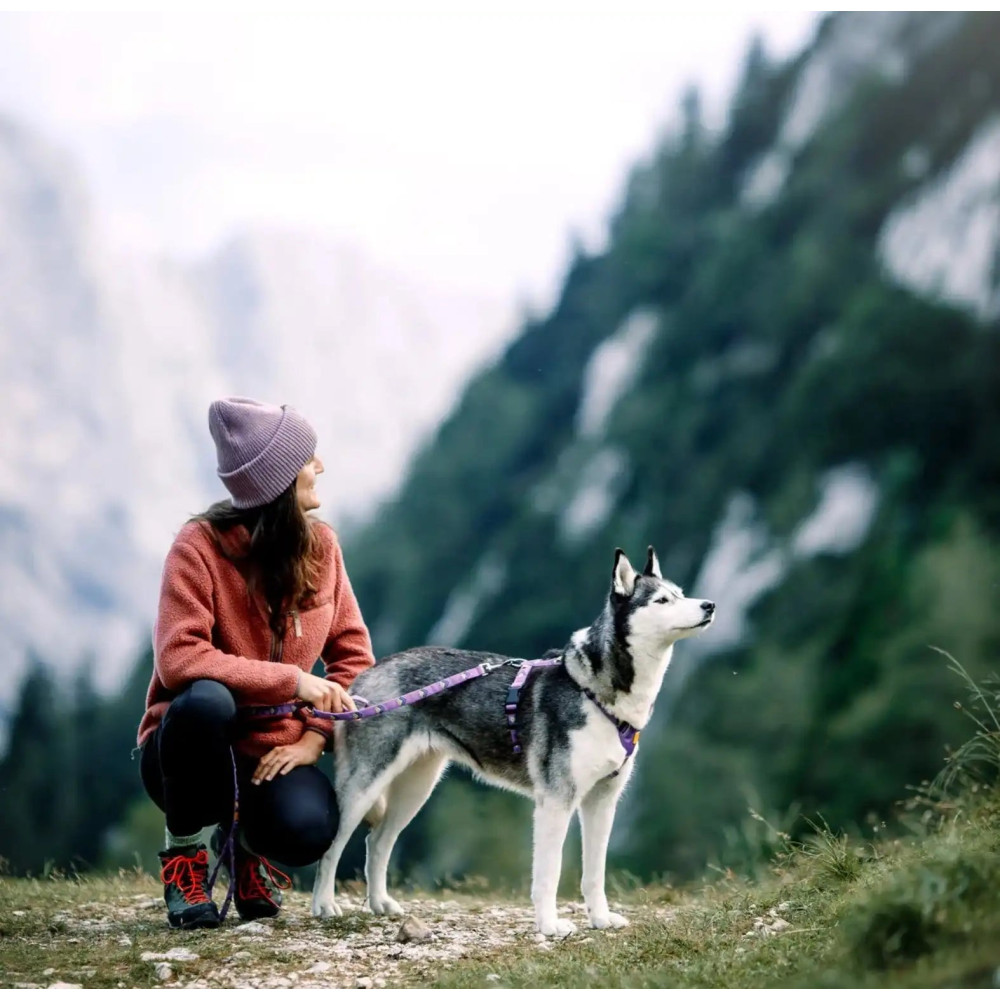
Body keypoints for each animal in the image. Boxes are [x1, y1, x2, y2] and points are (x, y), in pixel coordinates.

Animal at [310, 546, 715, 936]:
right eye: (661, 600)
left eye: (681, 593)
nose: (709, 605)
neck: (595, 693)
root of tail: (365, 677)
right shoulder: (556, 801)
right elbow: (549, 874)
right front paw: (550, 926)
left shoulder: (602, 801)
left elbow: (594, 875)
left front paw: (600, 919)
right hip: (364, 787)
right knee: (333, 845)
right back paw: (324, 905)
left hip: (417, 788)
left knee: (377, 841)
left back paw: (380, 904)